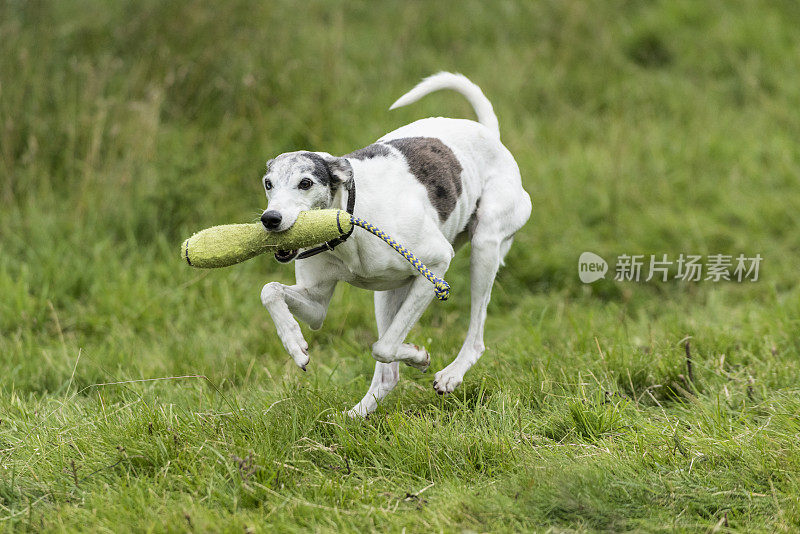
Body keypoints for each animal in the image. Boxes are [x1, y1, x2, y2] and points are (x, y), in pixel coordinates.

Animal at [256, 73, 532, 418]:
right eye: (268, 183)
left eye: (305, 183)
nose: (270, 219)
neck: (349, 219)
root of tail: (489, 133)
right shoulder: (317, 303)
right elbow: (270, 291)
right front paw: (295, 345)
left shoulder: (436, 266)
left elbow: (383, 346)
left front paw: (420, 355)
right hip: (389, 291)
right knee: (388, 374)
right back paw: (355, 415)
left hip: (484, 246)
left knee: (474, 336)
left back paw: (452, 374)